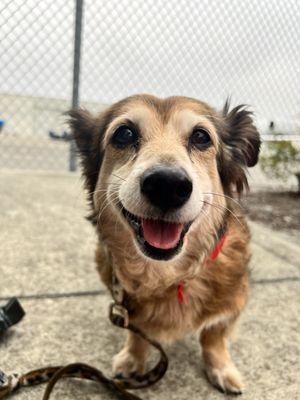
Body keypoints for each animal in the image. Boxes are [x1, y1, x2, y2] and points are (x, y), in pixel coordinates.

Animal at [68, 94, 260, 394]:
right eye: (124, 134)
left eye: (201, 137)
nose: (167, 185)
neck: (168, 275)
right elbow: (137, 334)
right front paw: (133, 358)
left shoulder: (233, 299)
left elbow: (214, 335)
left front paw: (221, 368)